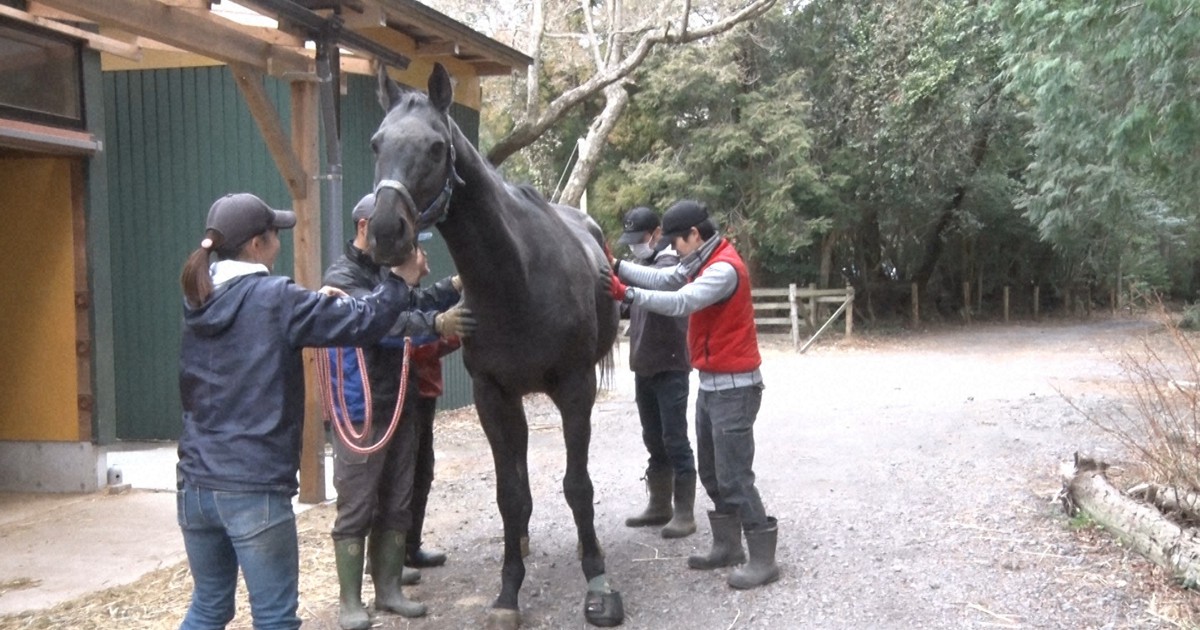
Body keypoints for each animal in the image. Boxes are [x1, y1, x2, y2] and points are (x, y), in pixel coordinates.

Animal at [368, 62, 624, 629]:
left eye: (436, 147)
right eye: (376, 142)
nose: (385, 231)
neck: (517, 277)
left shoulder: (575, 390)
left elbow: (578, 486)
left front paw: (598, 581)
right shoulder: (492, 395)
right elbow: (509, 495)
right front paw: (509, 591)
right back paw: (522, 543)